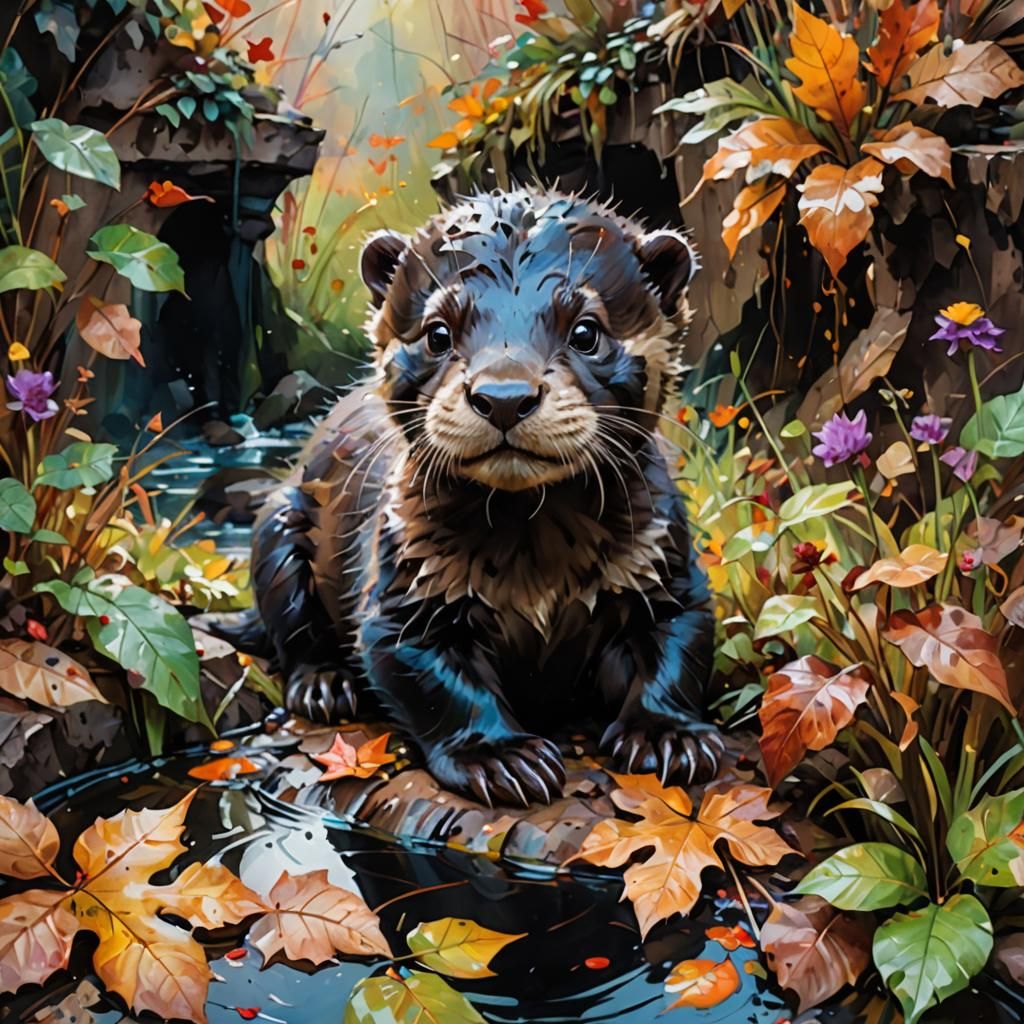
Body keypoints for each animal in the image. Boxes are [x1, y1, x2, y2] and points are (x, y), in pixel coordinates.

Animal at [242, 188, 723, 808]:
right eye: (437, 333)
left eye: (586, 331)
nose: (504, 395)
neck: (537, 566)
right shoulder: (405, 592)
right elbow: (436, 683)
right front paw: (499, 756)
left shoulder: (667, 569)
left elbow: (678, 649)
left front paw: (669, 735)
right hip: (277, 528)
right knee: (294, 632)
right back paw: (325, 686)